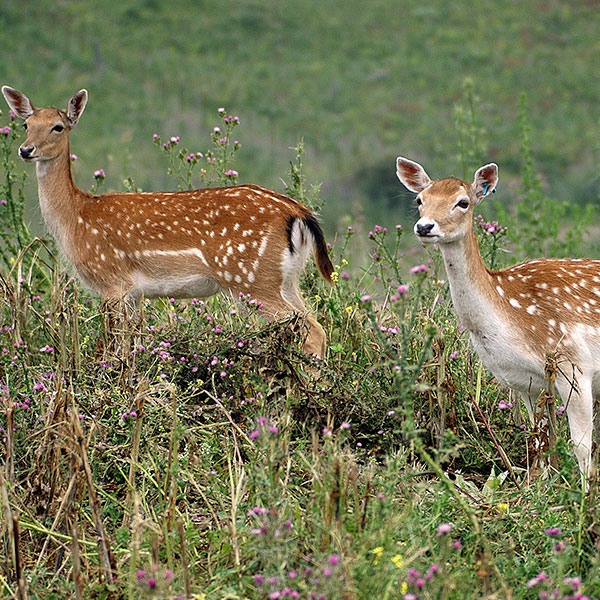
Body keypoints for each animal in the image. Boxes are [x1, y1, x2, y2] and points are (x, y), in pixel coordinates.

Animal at [2, 85, 336, 356]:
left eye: (58, 127)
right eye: (26, 124)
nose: (26, 149)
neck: (76, 219)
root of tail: (298, 212)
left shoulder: (111, 280)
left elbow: (113, 346)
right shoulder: (134, 293)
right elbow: (132, 343)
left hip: (251, 277)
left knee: (307, 329)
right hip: (286, 278)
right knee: (314, 326)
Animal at [396, 157, 596, 480]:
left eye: (462, 202)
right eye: (420, 200)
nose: (425, 226)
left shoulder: (575, 365)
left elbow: (581, 448)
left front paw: (584, 493)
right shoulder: (530, 383)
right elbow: (541, 443)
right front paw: (541, 486)